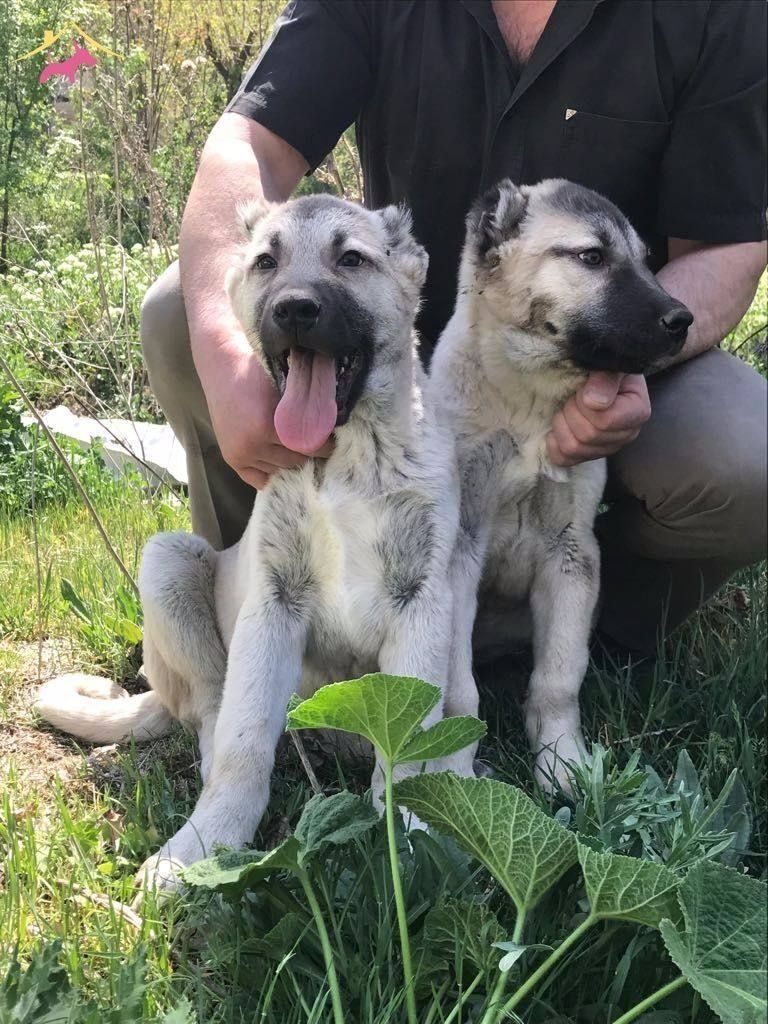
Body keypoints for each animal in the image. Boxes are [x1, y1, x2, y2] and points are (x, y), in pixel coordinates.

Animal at [37, 195, 462, 892]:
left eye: (351, 259)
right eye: (267, 261)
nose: (293, 309)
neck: (342, 458)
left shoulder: (423, 601)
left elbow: (410, 745)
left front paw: (413, 838)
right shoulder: (271, 606)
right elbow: (244, 742)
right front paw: (201, 848)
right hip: (169, 564)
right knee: (212, 709)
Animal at [430, 178, 696, 782]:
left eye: (645, 260)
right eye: (592, 257)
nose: (682, 320)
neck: (528, 402)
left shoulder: (571, 553)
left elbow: (558, 677)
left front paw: (562, 767)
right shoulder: (458, 554)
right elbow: (459, 695)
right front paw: (455, 774)